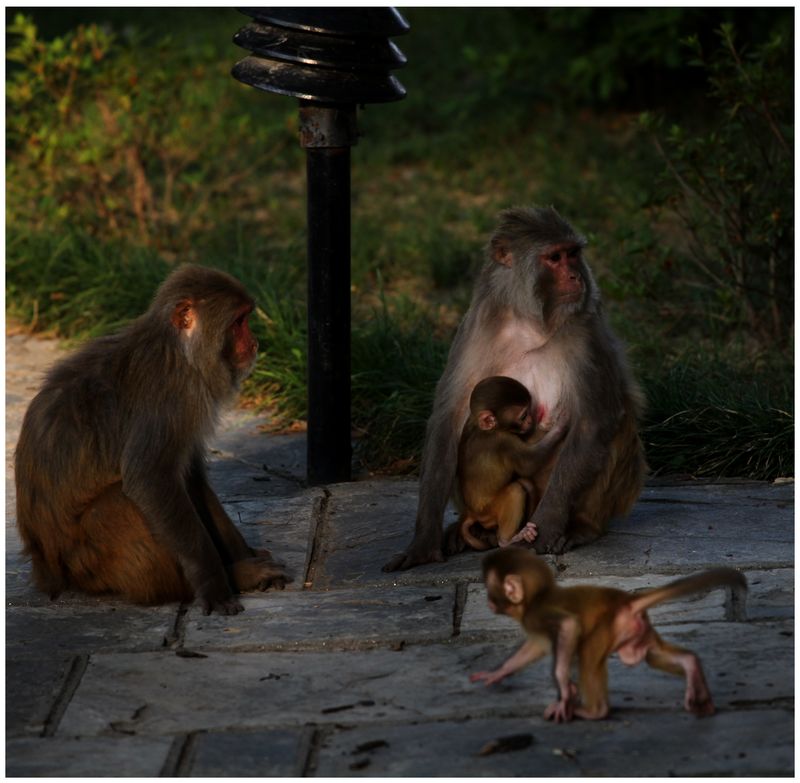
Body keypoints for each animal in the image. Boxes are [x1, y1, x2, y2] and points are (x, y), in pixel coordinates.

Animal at [14, 266, 290, 616]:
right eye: (239, 321)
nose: (254, 343)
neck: (180, 352)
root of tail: (44, 567)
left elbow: (191, 479)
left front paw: (241, 554)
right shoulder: (173, 397)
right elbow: (150, 479)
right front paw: (215, 583)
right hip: (85, 562)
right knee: (119, 501)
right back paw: (229, 578)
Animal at [456, 376, 568, 552]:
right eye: (523, 416)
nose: (530, 420)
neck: (485, 429)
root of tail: (472, 513)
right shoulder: (503, 442)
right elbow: (529, 463)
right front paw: (560, 426)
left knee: (526, 484)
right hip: (489, 512)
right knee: (515, 490)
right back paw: (507, 540)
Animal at [472, 544, 748, 724]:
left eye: (490, 590)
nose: (488, 603)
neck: (534, 598)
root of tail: (625, 601)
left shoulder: (536, 615)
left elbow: (569, 627)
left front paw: (565, 692)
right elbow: (533, 649)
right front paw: (498, 672)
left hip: (606, 628)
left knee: (587, 655)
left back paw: (594, 711)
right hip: (639, 631)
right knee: (653, 655)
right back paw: (692, 668)